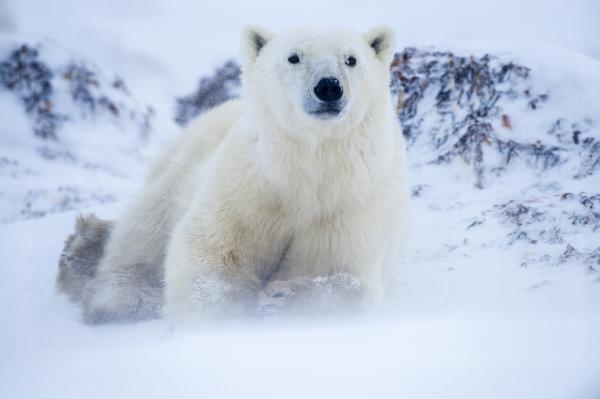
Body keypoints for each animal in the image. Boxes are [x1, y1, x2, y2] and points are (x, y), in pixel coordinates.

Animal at [57, 26, 408, 324]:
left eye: (351, 59)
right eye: (293, 57)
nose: (328, 86)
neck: (306, 164)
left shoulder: (351, 200)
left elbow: (343, 273)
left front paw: (280, 298)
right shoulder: (250, 182)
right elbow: (209, 251)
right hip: (186, 157)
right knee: (144, 229)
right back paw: (105, 279)